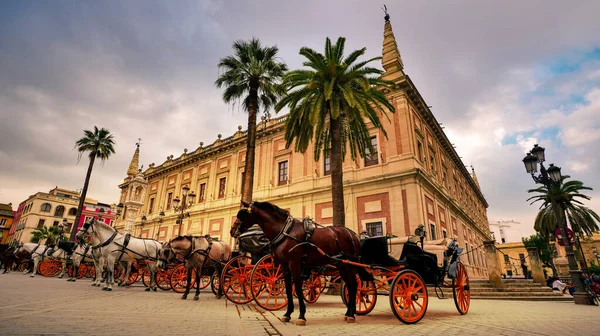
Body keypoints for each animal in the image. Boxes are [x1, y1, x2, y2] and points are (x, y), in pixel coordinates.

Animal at [232, 201, 364, 324]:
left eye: (243, 214)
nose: (234, 231)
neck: (284, 231)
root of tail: (353, 234)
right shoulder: (284, 266)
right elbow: (288, 289)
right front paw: (287, 314)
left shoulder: (294, 263)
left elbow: (298, 288)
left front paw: (301, 315)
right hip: (341, 266)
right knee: (350, 286)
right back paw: (348, 313)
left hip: (350, 264)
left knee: (354, 285)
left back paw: (351, 314)